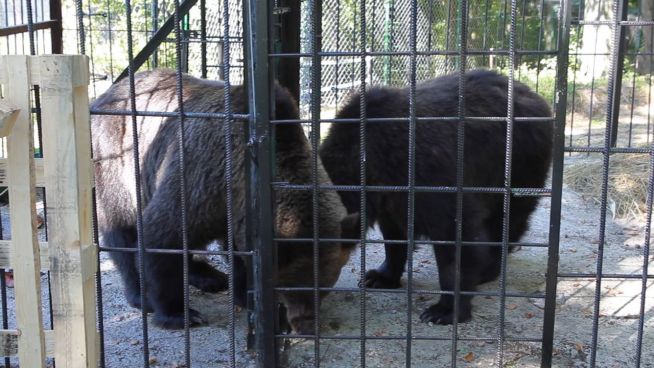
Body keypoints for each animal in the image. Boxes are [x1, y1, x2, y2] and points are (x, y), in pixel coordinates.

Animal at [91, 69, 358, 334]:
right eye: (294, 286)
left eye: (325, 284)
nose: (306, 325)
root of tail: (104, 95)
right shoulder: (201, 178)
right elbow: (162, 235)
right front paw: (179, 313)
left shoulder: (234, 212)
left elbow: (240, 256)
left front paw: (247, 296)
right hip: (119, 164)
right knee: (123, 231)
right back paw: (141, 295)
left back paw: (211, 277)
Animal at [320, 69, 556, 324]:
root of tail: (536, 96)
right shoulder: (390, 198)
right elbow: (394, 234)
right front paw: (379, 276)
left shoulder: (429, 172)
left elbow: (454, 235)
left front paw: (444, 310)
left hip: (518, 162)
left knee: (506, 218)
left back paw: (487, 268)